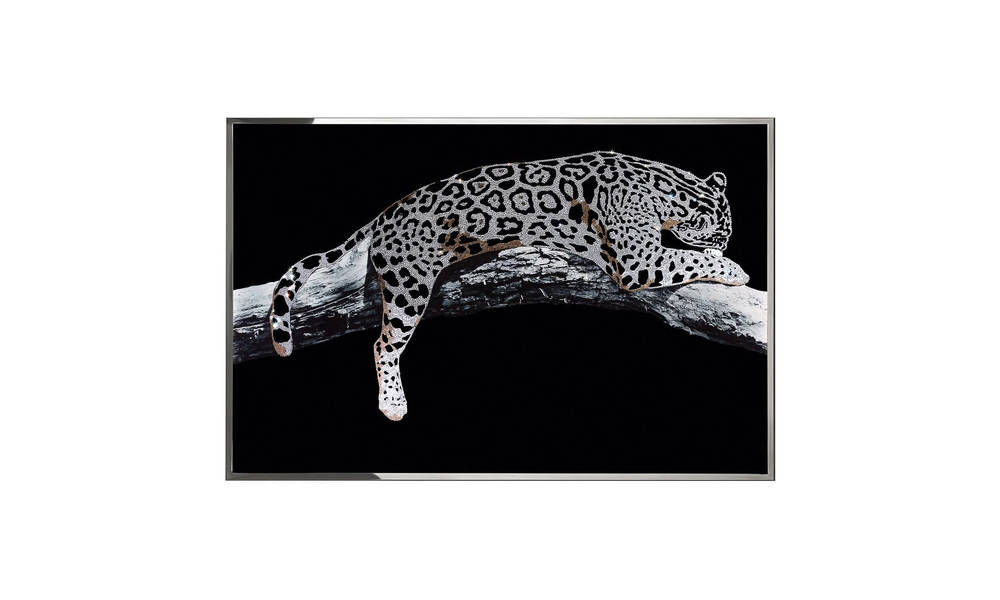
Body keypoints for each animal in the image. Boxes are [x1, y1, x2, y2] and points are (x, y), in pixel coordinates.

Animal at [268, 151, 749, 421]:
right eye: (722, 234)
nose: (728, 244)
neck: (666, 187)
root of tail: (385, 212)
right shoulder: (638, 260)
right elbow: (686, 257)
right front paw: (734, 268)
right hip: (408, 286)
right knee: (384, 343)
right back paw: (393, 404)